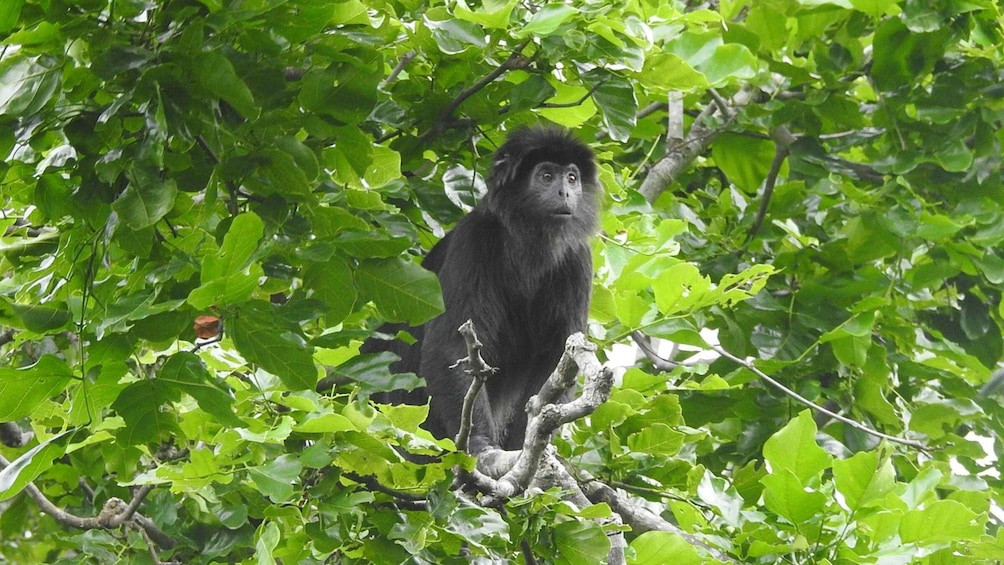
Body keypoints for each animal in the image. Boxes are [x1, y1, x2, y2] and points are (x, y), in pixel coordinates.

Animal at [365, 127, 600, 455]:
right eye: (546, 176)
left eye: (571, 178)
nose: (565, 193)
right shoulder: (472, 238)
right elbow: (450, 345)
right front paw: (478, 443)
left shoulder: (577, 257)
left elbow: (556, 356)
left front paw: (526, 442)